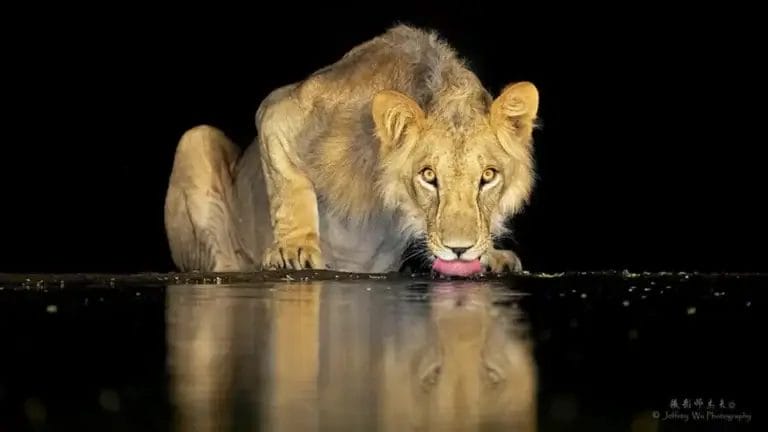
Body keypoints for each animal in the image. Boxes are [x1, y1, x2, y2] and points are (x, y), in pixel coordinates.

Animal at [164, 24, 539, 276]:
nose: (459, 250)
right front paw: (294, 248)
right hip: (194, 138)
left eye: (488, 176)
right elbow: (289, 190)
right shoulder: (279, 111)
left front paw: (491, 254)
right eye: (428, 176)